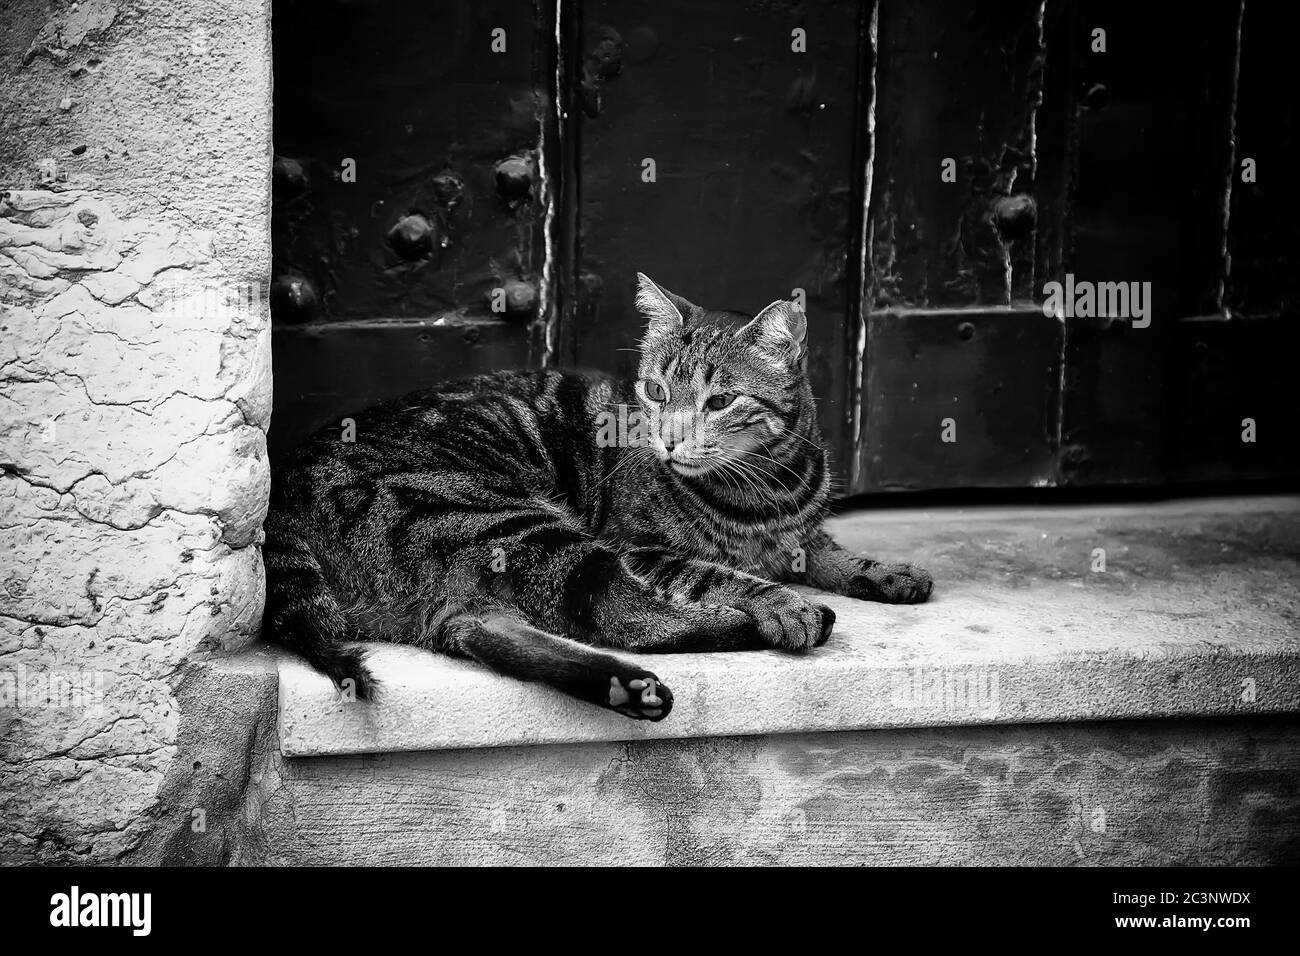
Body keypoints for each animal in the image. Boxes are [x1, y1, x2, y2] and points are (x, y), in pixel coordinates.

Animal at [263, 273, 935, 723]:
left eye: (720, 401)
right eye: (657, 392)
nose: (668, 438)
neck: (768, 489)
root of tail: (281, 499)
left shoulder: (802, 534)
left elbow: (833, 553)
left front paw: (890, 571)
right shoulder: (644, 549)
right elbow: (722, 573)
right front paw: (778, 600)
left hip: (473, 569)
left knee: (477, 628)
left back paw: (626, 688)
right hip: (509, 520)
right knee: (617, 612)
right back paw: (751, 626)